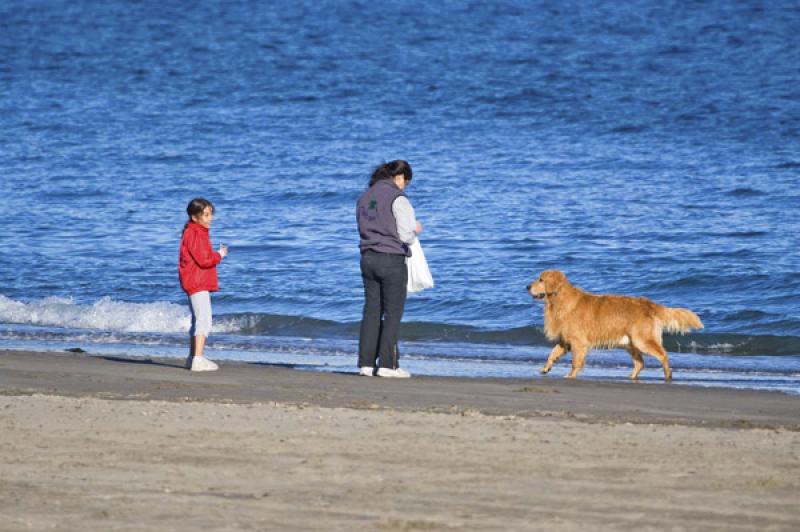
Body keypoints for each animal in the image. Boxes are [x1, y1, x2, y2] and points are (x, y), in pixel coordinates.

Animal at [528, 272, 704, 380]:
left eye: (541, 279)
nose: (527, 287)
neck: (559, 299)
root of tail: (648, 303)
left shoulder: (579, 342)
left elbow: (575, 362)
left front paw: (571, 375)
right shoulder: (565, 341)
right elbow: (552, 354)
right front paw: (545, 368)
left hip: (642, 340)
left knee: (663, 354)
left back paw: (668, 374)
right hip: (631, 343)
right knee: (640, 362)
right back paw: (632, 377)